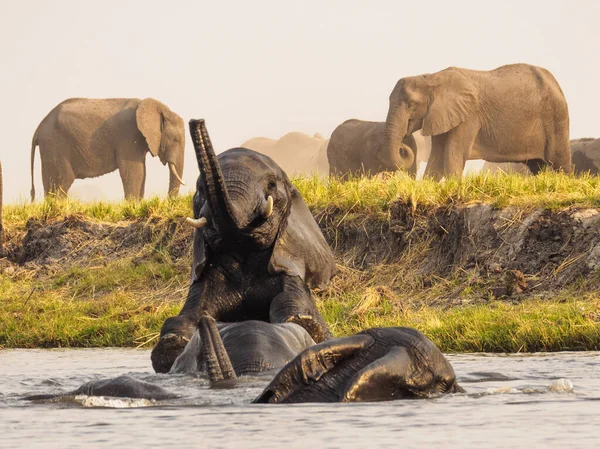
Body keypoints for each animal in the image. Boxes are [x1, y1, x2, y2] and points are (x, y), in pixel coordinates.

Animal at [28, 97, 186, 200]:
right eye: (175, 139)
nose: (167, 202)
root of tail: (38, 129)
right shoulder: (127, 136)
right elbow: (134, 172)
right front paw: (133, 206)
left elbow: (143, 172)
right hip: (56, 146)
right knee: (62, 183)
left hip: (49, 147)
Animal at [384, 61, 572, 180]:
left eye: (412, 104)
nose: (402, 145)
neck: (431, 78)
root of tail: (555, 82)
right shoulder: (441, 115)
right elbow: (437, 158)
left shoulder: (469, 116)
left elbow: (453, 155)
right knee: (537, 166)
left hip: (556, 117)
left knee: (560, 162)